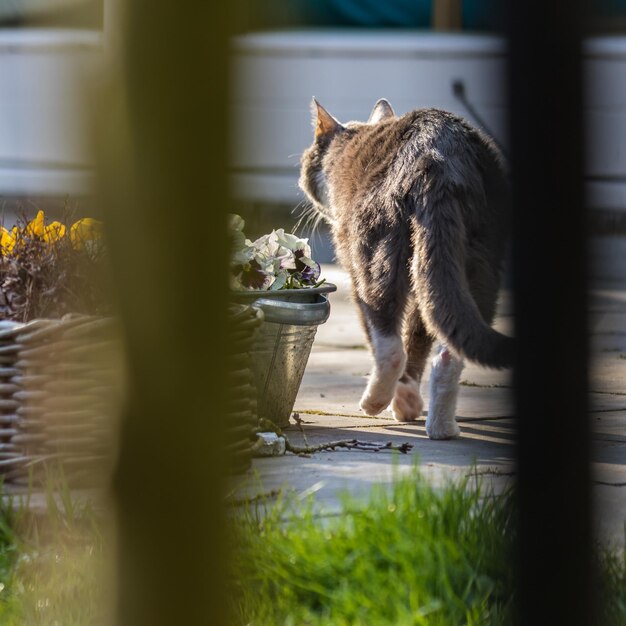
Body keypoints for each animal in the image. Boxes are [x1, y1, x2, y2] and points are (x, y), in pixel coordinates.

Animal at [298, 98, 512, 438]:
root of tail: (438, 160)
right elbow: (419, 334)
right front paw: (408, 402)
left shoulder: (351, 260)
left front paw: (400, 401)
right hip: (478, 253)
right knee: (449, 338)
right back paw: (441, 426)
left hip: (376, 245)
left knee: (387, 339)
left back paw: (374, 401)